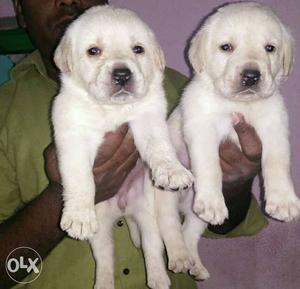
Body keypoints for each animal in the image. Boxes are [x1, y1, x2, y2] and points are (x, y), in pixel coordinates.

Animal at [51, 5, 192, 288]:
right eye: (93, 51)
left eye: (138, 49)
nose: (122, 74)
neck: (112, 110)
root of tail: (122, 210)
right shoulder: (72, 134)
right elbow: (80, 177)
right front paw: (78, 216)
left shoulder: (148, 118)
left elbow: (159, 147)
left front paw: (172, 170)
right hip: (100, 230)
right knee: (105, 258)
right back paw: (104, 282)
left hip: (147, 213)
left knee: (152, 248)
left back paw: (159, 278)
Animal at [155, 1, 300, 282]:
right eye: (226, 47)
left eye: (270, 48)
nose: (251, 76)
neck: (238, 104)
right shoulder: (202, 127)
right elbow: (210, 166)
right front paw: (212, 200)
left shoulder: (275, 125)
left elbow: (278, 162)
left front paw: (283, 201)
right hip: (163, 196)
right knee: (169, 228)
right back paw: (179, 257)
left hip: (196, 215)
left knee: (189, 233)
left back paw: (195, 265)